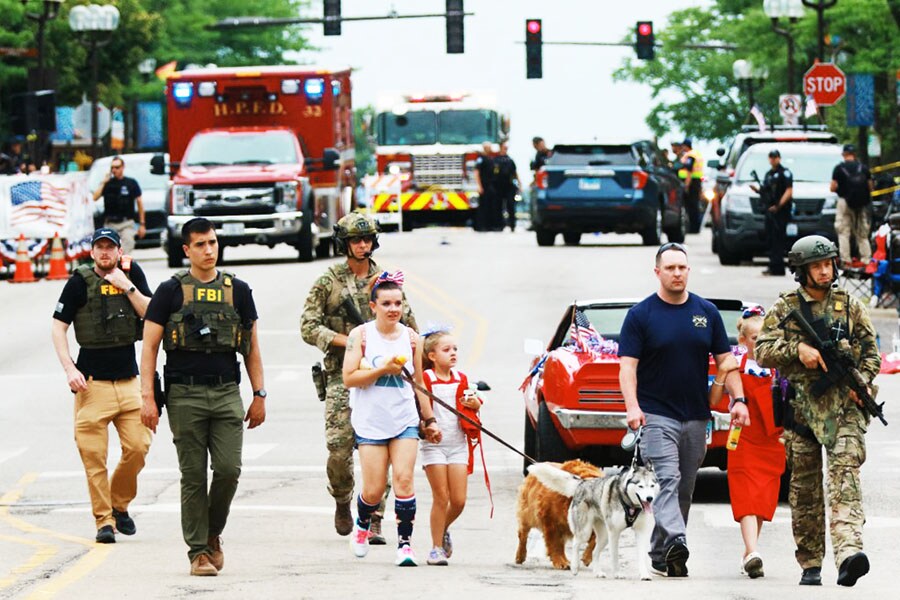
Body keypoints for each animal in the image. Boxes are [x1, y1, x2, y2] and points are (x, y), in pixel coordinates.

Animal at [528, 462, 660, 580]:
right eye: (640, 486)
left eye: (652, 486)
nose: (649, 498)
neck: (630, 503)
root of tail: (582, 482)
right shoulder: (614, 533)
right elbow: (615, 557)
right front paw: (617, 573)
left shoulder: (641, 532)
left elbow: (642, 556)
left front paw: (644, 574)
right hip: (585, 532)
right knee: (576, 543)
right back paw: (575, 567)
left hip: (604, 536)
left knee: (595, 552)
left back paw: (598, 572)